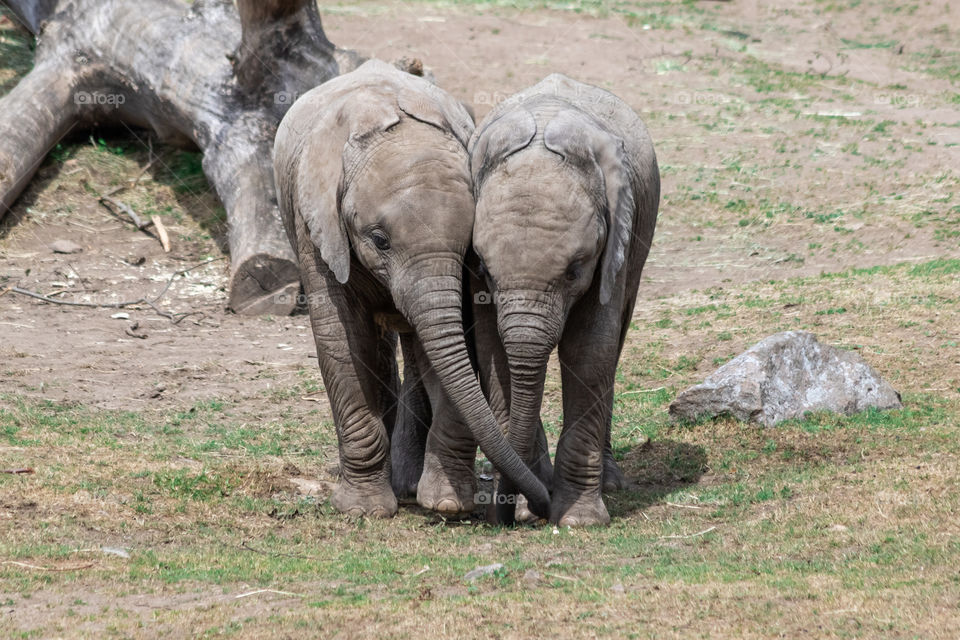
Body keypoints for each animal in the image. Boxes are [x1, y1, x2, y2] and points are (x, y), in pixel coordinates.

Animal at [273, 60, 550, 519]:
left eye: (468, 244)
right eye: (379, 240)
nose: (542, 506)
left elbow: (460, 341)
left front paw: (448, 504)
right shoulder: (313, 226)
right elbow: (340, 339)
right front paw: (363, 511)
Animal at [466, 73, 660, 526]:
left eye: (575, 269)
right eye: (484, 266)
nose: (506, 515)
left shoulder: (614, 247)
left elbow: (589, 352)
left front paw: (578, 520)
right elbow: (495, 354)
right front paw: (524, 509)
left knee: (615, 343)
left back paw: (610, 483)